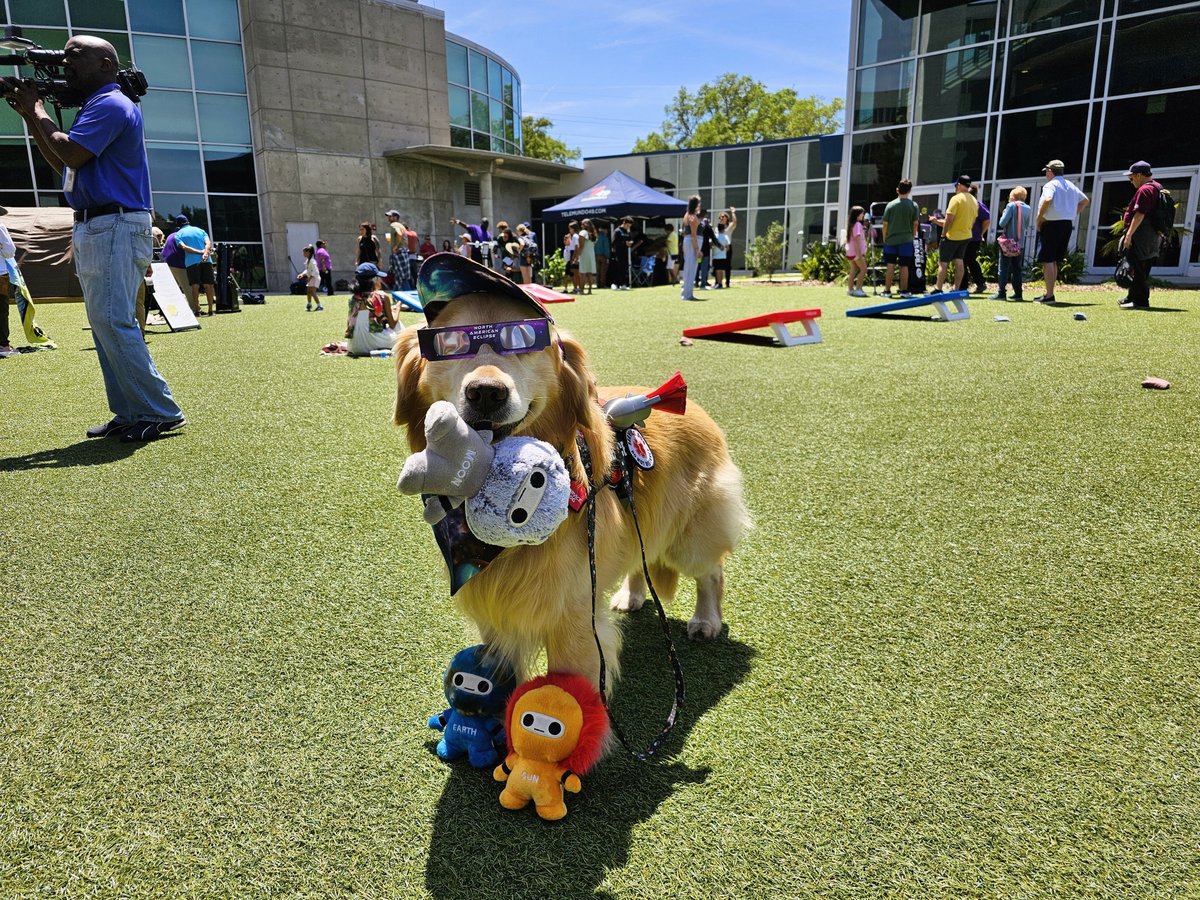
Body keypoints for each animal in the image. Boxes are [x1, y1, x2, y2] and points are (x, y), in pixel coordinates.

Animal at [396, 260, 748, 691]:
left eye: (522, 340)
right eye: (449, 345)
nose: (487, 392)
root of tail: (694, 406)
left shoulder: (574, 617)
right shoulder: (494, 609)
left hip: (691, 536)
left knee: (711, 571)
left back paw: (706, 620)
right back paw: (631, 595)